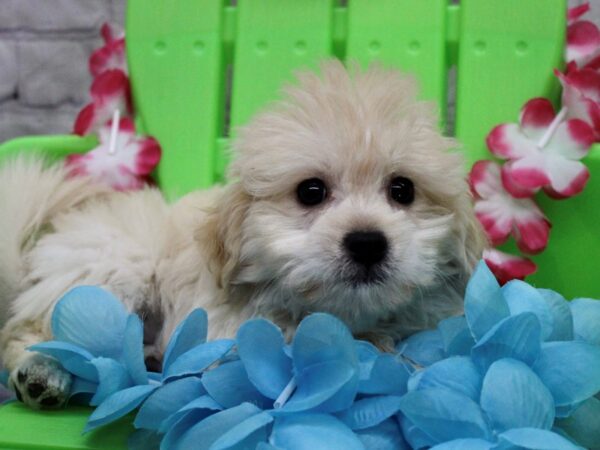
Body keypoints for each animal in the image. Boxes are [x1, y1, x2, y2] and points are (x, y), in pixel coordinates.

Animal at [0, 61, 486, 410]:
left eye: (403, 190)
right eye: (310, 191)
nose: (367, 242)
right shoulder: (233, 329)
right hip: (112, 269)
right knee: (33, 329)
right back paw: (42, 373)